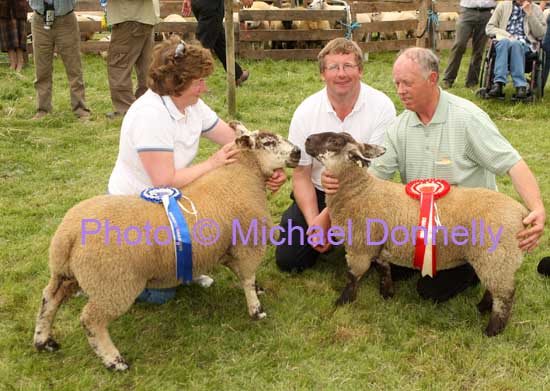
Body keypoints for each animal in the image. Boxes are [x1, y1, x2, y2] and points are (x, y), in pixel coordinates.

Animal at [32, 124, 302, 372]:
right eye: (268, 142)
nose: (298, 152)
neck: (244, 173)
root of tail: (69, 234)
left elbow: (247, 276)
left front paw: (258, 289)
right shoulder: (248, 245)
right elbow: (246, 279)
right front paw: (256, 310)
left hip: (68, 273)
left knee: (50, 298)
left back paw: (44, 341)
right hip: (114, 284)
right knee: (91, 320)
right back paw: (115, 361)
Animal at [306, 132, 532, 336]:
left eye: (335, 141)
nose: (307, 139)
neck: (360, 191)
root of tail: (522, 213)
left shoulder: (359, 247)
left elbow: (353, 277)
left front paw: (342, 302)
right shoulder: (377, 244)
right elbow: (384, 269)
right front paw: (387, 293)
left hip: (495, 257)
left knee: (505, 295)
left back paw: (492, 329)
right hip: (495, 260)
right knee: (494, 289)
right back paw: (482, 308)